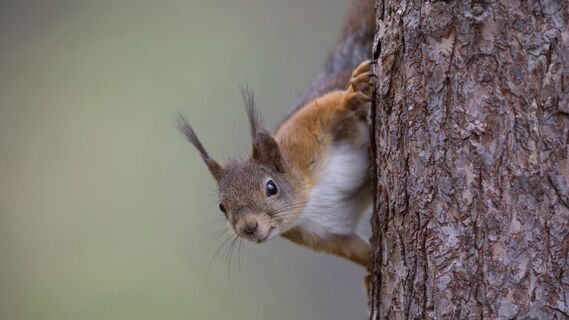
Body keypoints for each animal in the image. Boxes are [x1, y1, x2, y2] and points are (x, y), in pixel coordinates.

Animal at [178, 0, 374, 270]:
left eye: (271, 187)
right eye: (221, 207)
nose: (249, 227)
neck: (309, 201)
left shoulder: (302, 133)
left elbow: (328, 106)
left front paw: (353, 92)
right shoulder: (322, 236)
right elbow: (353, 249)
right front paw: (372, 268)